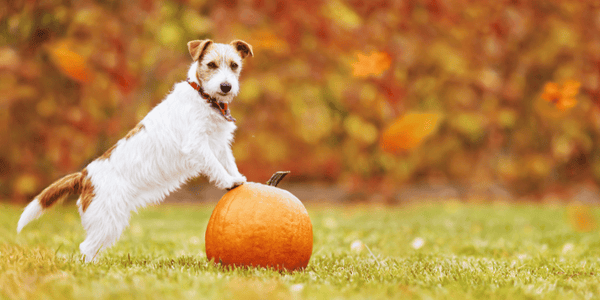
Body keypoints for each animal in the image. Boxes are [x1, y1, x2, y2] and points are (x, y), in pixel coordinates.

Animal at [15, 39, 251, 262]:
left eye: (234, 65)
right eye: (211, 64)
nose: (226, 86)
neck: (204, 97)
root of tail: (85, 175)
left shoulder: (219, 144)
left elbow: (228, 163)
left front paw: (239, 178)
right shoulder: (197, 145)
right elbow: (216, 166)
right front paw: (230, 182)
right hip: (108, 220)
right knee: (86, 249)